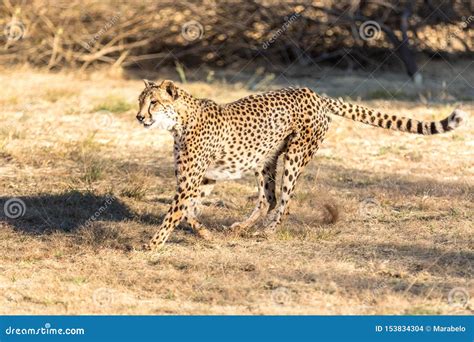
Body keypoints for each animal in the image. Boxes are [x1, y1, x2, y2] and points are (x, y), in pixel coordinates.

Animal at [134, 80, 466, 251]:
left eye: (153, 103)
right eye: (140, 100)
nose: (139, 117)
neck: (179, 120)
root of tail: (311, 92)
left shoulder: (191, 179)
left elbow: (175, 212)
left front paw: (152, 245)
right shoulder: (202, 179)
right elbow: (189, 211)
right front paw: (204, 234)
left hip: (295, 155)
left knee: (285, 201)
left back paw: (267, 232)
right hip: (265, 159)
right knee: (268, 199)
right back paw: (244, 227)